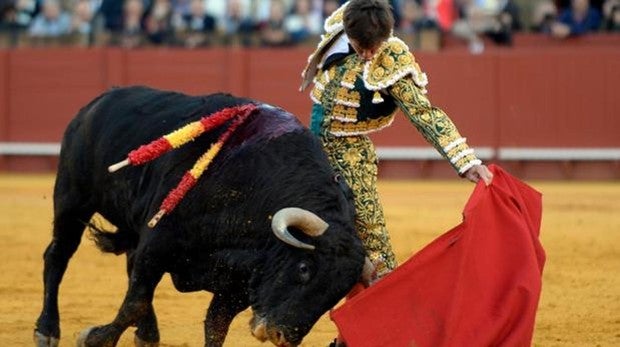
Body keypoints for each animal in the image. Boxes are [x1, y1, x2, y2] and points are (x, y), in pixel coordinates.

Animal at [34, 85, 368, 346]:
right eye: (303, 268)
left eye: (338, 293)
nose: (280, 335)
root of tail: (98, 102)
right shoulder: (157, 245)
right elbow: (135, 303)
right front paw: (93, 338)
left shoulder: (236, 284)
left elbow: (215, 326)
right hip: (72, 199)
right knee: (58, 255)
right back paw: (46, 331)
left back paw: (147, 335)